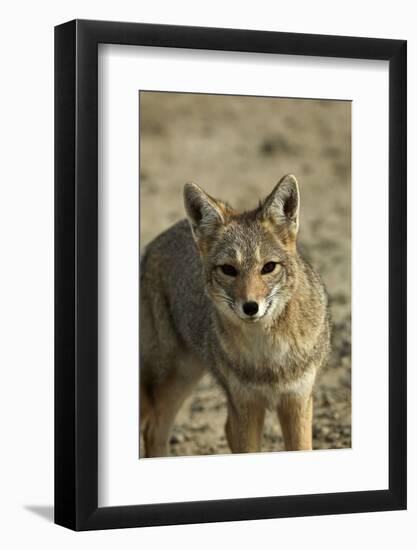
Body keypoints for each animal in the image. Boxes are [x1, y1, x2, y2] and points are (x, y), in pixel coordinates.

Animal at [139, 176, 328, 458]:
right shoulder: (245, 406)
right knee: (153, 430)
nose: (250, 307)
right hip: (175, 377)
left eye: (268, 267)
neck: (268, 359)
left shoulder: (298, 401)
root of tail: (154, 242)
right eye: (228, 270)